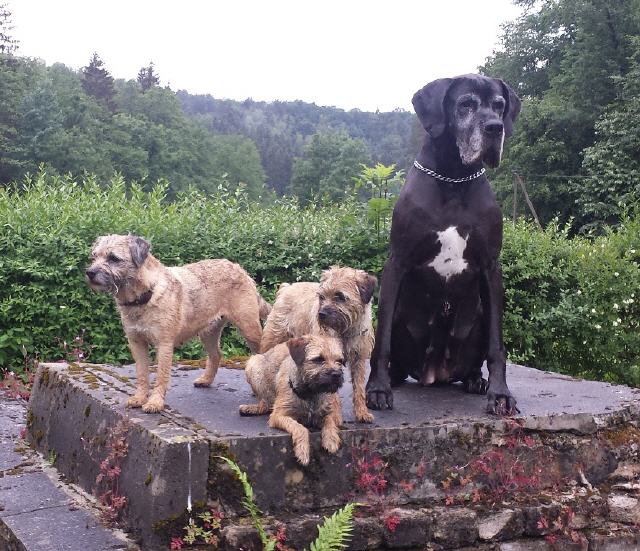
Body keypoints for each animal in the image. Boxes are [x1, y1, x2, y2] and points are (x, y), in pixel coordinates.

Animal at [368, 75, 524, 416]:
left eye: (499, 105)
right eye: (465, 104)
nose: (495, 128)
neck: (454, 179)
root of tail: (434, 373)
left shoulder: (491, 267)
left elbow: (498, 347)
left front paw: (500, 394)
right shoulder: (397, 262)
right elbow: (380, 342)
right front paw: (377, 389)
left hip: (478, 317)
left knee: (475, 361)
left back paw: (476, 381)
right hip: (400, 318)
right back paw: (393, 378)